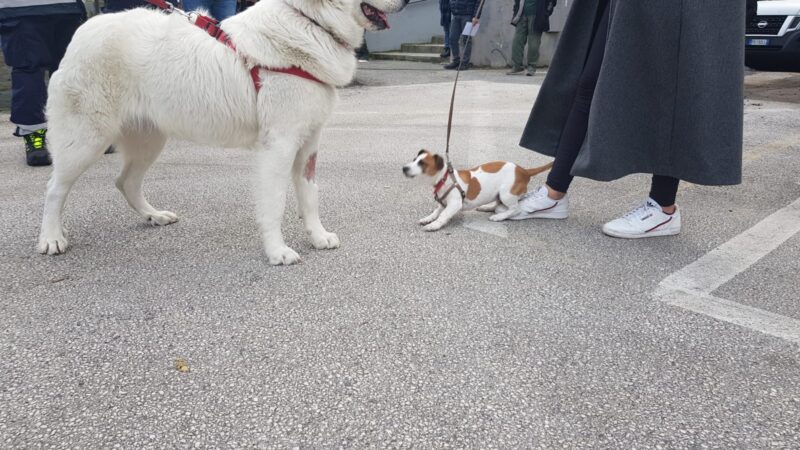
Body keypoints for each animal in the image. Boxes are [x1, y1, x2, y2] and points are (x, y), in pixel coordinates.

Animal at [36, 0, 406, 264]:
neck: (309, 21)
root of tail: (84, 31)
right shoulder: (279, 145)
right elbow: (274, 203)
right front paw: (277, 252)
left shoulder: (309, 143)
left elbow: (309, 196)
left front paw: (317, 236)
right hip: (86, 141)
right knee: (55, 189)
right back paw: (51, 238)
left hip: (149, 140)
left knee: (125, 181)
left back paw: (154, 216)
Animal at [404, 150, 552, 230]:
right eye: (414, 160)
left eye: (422, 164)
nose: (404, 168)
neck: (445, 179)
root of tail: (524, 171)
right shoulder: (443, 203)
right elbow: (436, 212)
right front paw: (428, 219)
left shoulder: (454, 204)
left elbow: (443, 215)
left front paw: (434, 225)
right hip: (500, 194)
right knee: (498, 204)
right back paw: (487, 207)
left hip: (507, 194)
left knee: (516, 209)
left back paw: (498, 217)